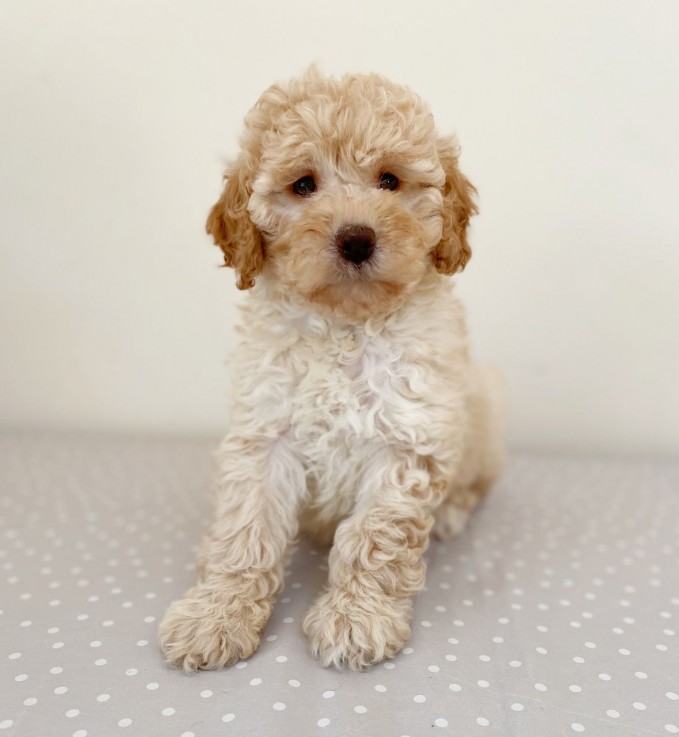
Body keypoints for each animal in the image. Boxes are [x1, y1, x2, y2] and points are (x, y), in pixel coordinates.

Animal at [159, 69, 504, 672]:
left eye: (389, 180)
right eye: (303, 185)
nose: (357, 239)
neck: (345, 326)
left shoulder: (406, 437)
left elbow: (374, 537)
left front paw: (357, 618)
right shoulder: (263, 434)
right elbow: (244, 532)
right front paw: (215, 614)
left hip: (482, 409)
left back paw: (453, 512)